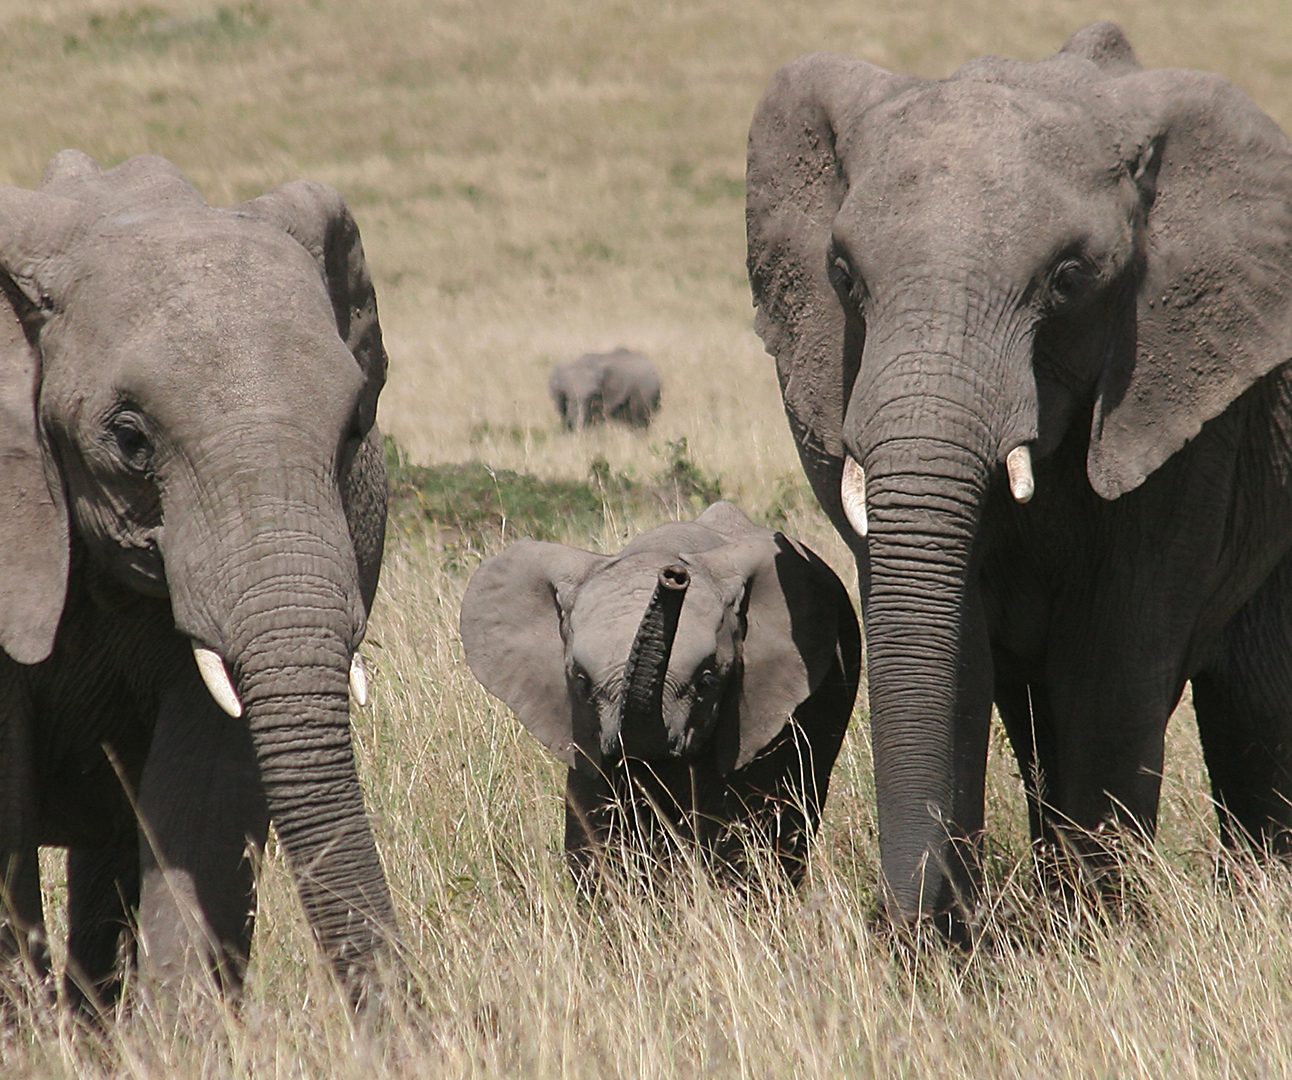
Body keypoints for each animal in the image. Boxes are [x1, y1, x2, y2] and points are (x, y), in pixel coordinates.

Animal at [749, 23, 1292, 935]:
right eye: (843, 275)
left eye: (1069, 279)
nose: (907, 924)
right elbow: (957, 657)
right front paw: (969, 942)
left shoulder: (1188, 409)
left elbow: (1112, 664)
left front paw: (1099, 937)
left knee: (1255, 704)